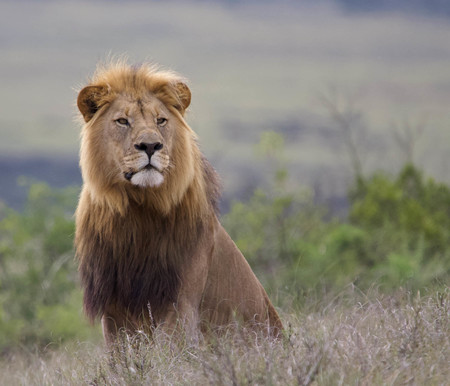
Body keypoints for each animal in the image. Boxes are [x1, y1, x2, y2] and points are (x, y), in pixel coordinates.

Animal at [75, 61, 284, 346]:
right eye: (122, 121)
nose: (150, 145)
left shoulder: (180, 301)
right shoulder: (113, 307)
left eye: (161, 120)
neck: (138, 210)